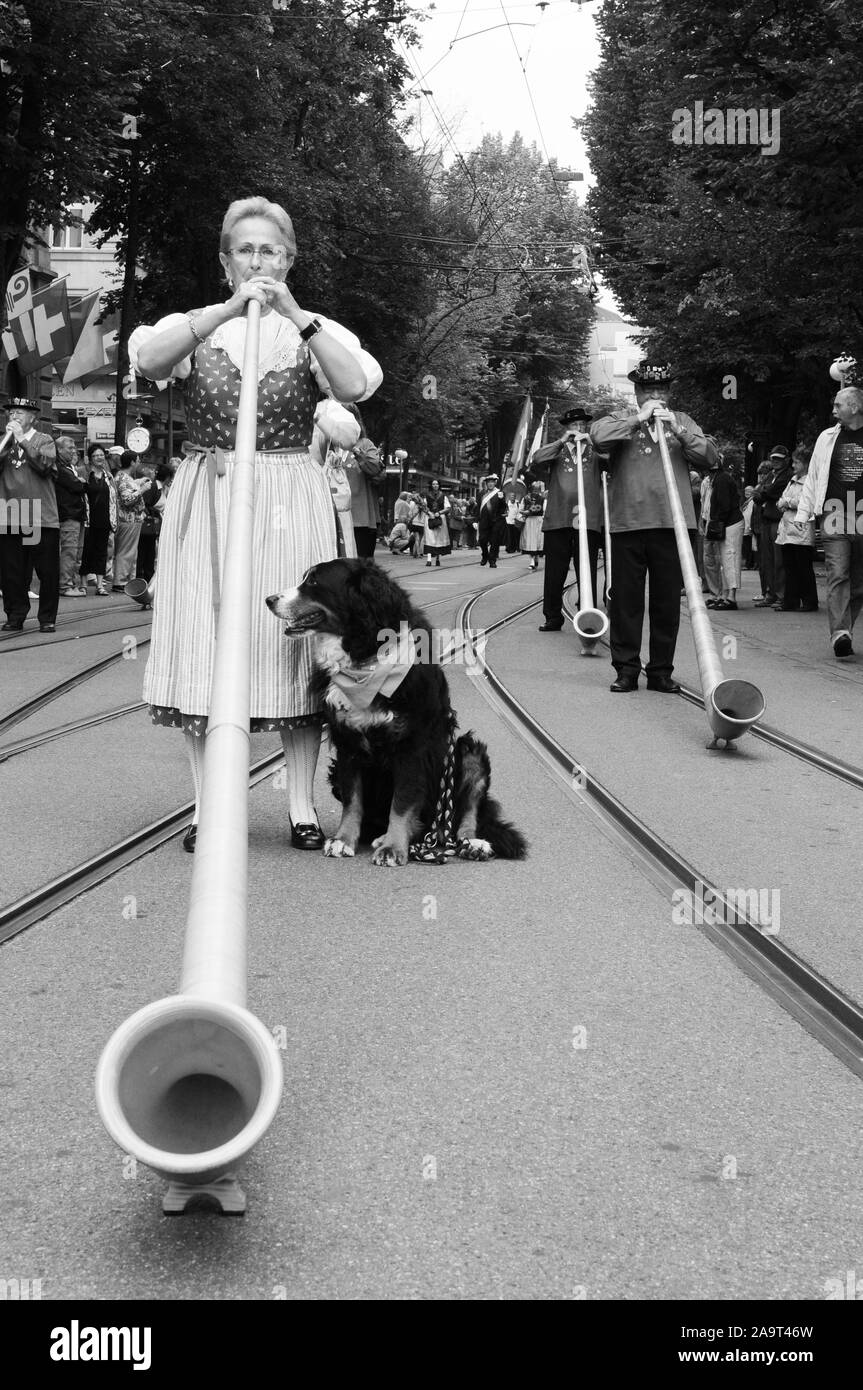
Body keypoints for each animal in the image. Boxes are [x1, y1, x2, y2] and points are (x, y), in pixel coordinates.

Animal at [269, 556, 525, 867]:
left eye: (314, 582)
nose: (269, 599)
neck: (366, 659)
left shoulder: (411, 744)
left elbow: (402, 802)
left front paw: (392, 848)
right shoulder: (347, 743)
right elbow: (353, 801)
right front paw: (343, 840)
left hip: (468, 752)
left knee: (462, 816)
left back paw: (471, 844)